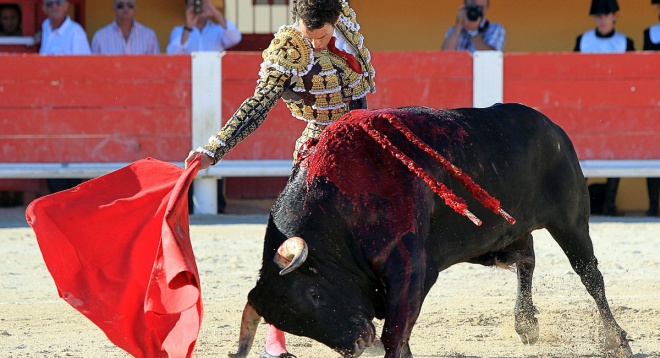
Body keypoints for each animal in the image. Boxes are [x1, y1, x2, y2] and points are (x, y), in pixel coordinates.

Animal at [229, 103, 632, 358]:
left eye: (314, 293)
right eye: (296, 326)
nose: (356, 343)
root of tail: (552, 127)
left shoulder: (411, 269)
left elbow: (395, 334)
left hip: (571, 221)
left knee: (590, 276)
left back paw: (618, 342)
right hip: (501, 236)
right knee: (526, 259)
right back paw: (527, 325)